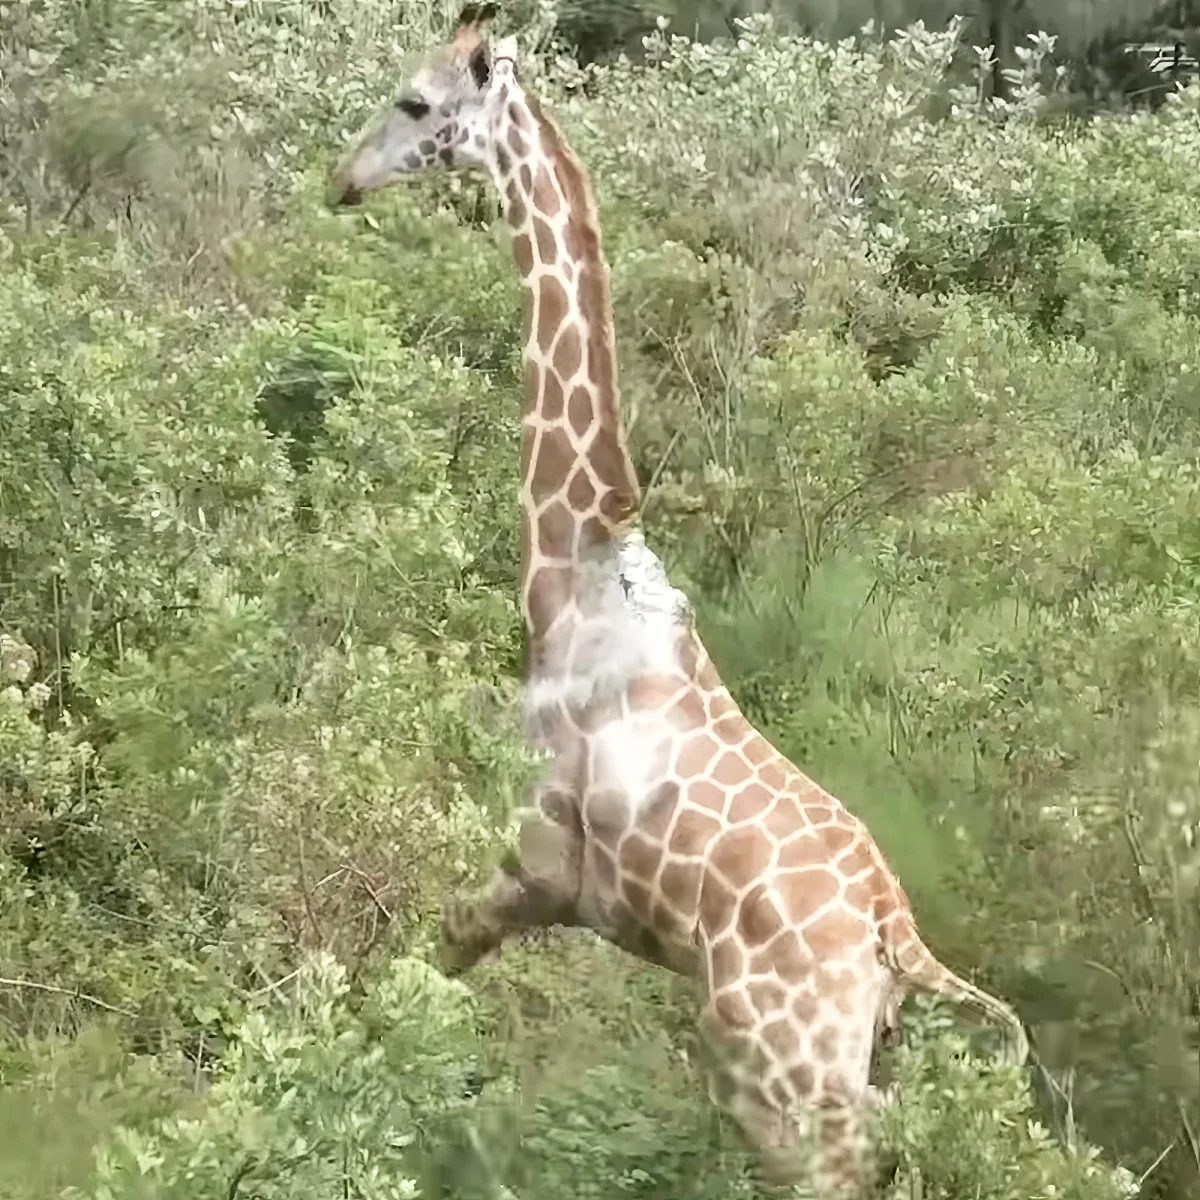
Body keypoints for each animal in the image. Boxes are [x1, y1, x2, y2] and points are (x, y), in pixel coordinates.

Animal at [331, 8, 1029, 1195]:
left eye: (415, 101)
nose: (342, 180)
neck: (572, 571)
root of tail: (897, 940)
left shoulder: (532, 860)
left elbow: (413, 980)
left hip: (779, 1084)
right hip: (838, 1075)